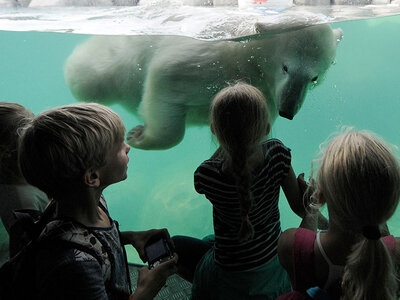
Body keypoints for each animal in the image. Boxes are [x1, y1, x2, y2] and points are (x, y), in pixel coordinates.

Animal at [64, 24, 342, 150]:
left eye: (314, 77)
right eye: (286, 67)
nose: (288, 111)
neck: (245, 56)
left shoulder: (265, 92)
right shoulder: (208, 56)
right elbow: (167, 75)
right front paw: (138, 135)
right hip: (122, 61)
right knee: (93, 75)